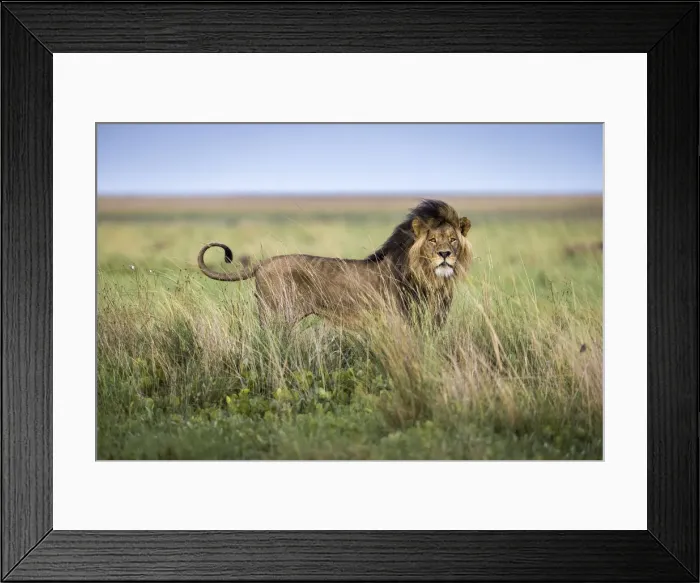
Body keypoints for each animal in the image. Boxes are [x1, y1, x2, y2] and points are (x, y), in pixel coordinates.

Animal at [197, 199, 473, 328]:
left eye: (453, 239)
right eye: (432, 240)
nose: (445, 254)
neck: (431, 279)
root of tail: (263, 263)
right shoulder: (399, 320)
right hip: (276, 316)